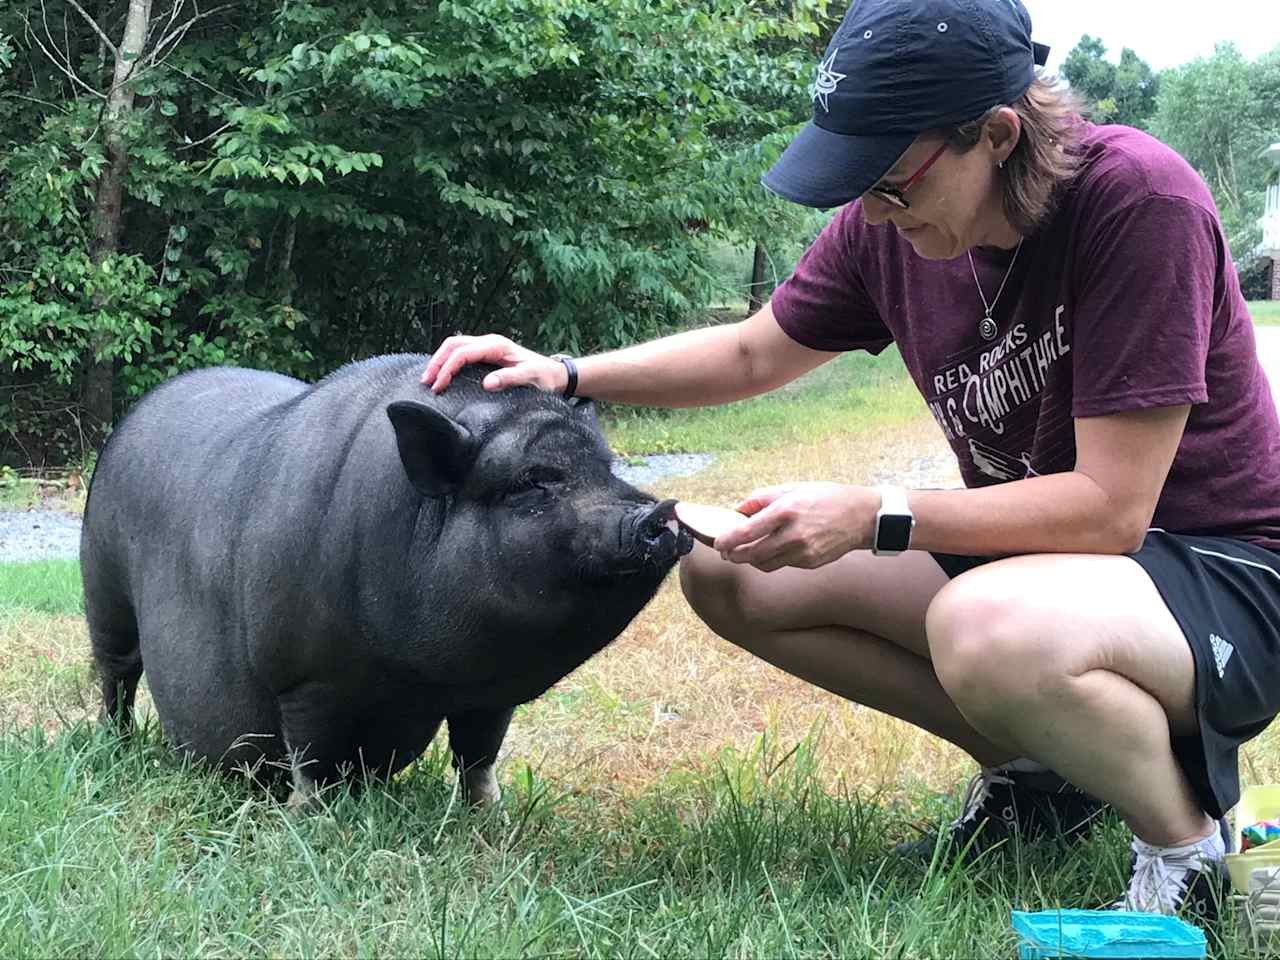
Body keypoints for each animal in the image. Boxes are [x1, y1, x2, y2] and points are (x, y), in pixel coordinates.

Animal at [80, 353, 691, 803]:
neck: (420, 674)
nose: (660, 513)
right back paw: (117, 745)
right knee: (117, 677)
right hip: (104, 590)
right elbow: (310, 755)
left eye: (606, 467)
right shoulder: (303, 674)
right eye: (530, 481)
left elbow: (479, 755)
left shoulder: (490, 694)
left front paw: (489, 815)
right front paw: (309, 818)